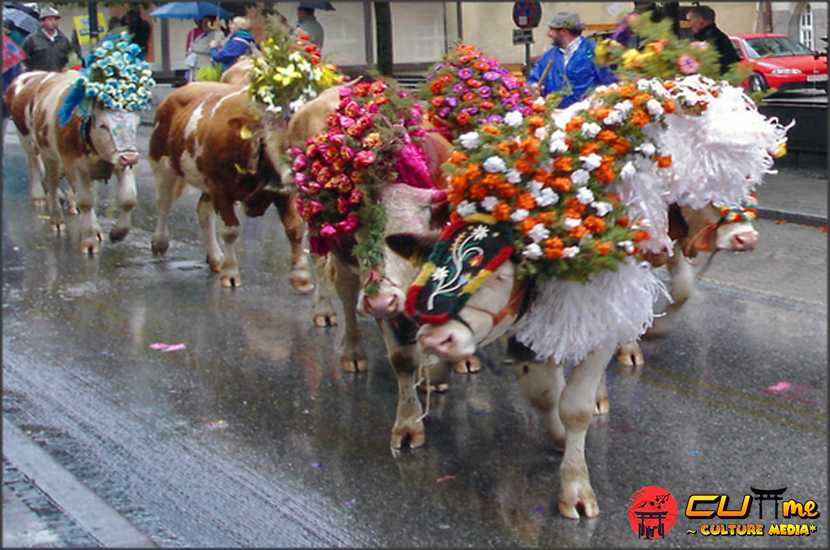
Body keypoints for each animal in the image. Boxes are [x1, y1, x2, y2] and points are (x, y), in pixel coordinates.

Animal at [4, 69, 141, 256]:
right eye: (102, 125)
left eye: (135, 122)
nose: (130, 157)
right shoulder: (72, 163)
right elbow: (86, 201)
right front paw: (89, 240)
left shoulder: (120, 163)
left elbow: (128, 198)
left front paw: (118, 233)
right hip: (33, 143)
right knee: (42, 174)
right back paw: (49, 209)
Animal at [148, 82, 314, 292]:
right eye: (273, 140)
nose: (296, 173)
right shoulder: (220, 188)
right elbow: (230, 231)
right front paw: (231, 274)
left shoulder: (284, 193)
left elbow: (295, 228)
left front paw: (301, 277)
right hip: (162, 163)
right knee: (164, 204)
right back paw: (160, 243)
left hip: (205, 182)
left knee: (203, 212)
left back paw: (215, 257)